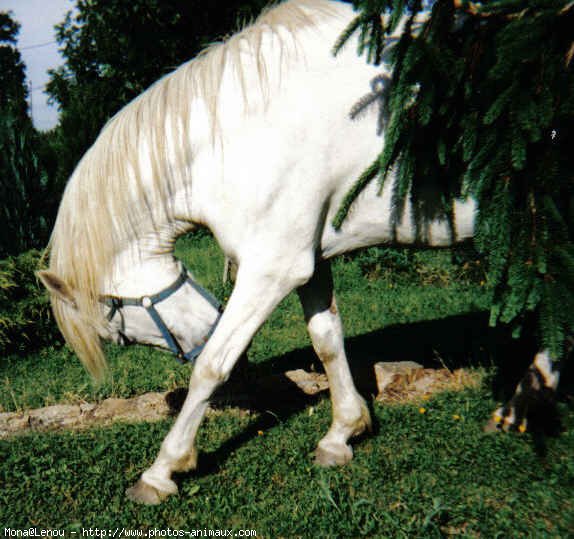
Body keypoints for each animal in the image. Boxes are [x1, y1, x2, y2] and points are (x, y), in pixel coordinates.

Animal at [39, 0, 564, 506]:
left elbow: (213, 368)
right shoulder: (309, 261)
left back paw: (520, 406)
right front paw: (343, 433)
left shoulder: (272, 269)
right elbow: (327, 340)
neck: (238, 133)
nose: (202, 333)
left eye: (115, 329)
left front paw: (163, 470)